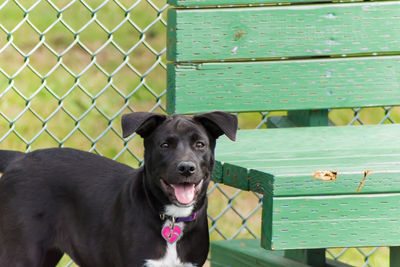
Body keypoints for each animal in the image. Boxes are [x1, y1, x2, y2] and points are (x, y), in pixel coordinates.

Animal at [0, 111, 238, 267]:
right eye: (164, 145)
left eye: (200, 144)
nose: (186, 168)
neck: (171, 217)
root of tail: (18, 159)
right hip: (21, 252)